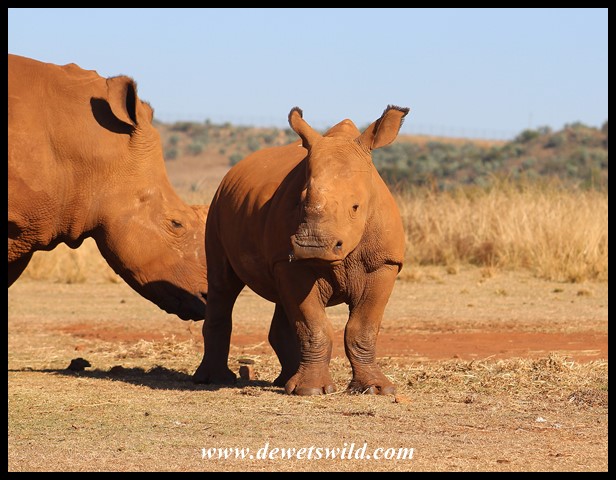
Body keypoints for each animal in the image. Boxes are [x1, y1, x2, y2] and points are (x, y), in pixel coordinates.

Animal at [194, 105, 409, 395]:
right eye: (300, 202)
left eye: (356, 207)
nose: (312, 246)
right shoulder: (291, 262)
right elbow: (313, 326)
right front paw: (310, 391)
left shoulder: (384, 263)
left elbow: (362, 328)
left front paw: (376, 389)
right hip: (216, 206)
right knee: (223, 285)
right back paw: (214, 380)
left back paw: (283, 381)